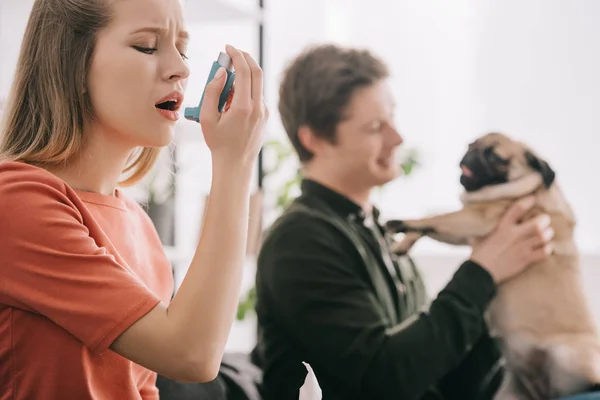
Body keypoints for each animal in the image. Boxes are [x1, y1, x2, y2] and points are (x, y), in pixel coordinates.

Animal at [384, 134, 600, 400]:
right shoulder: (464, 233)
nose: (469, 155)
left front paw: (401, 223)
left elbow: (437, 217)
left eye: (495, 157)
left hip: (570, 356)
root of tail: (542, 392)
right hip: (510, 392)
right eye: (470, 146)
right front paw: (403, 244)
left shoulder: (476, 218)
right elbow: (434, 224)